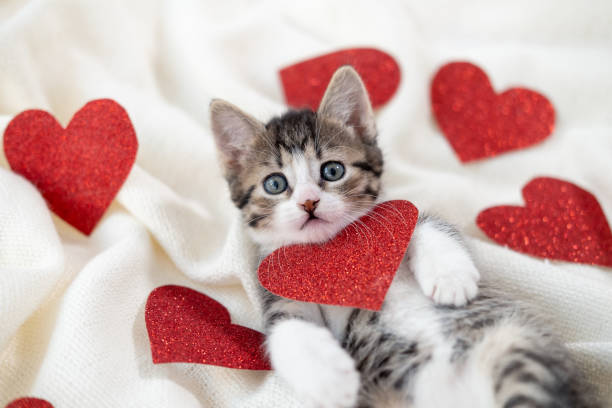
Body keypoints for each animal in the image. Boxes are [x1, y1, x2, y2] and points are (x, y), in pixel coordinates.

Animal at [208, 67, 596, 408]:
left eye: (332, 170)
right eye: (275, 184)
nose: (308, 202)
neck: (333, 248)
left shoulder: (398, 218)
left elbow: (427, 224)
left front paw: (451, 278)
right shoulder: (279, 291)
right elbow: (286, 327)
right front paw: (331, 379)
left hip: (514, 345)